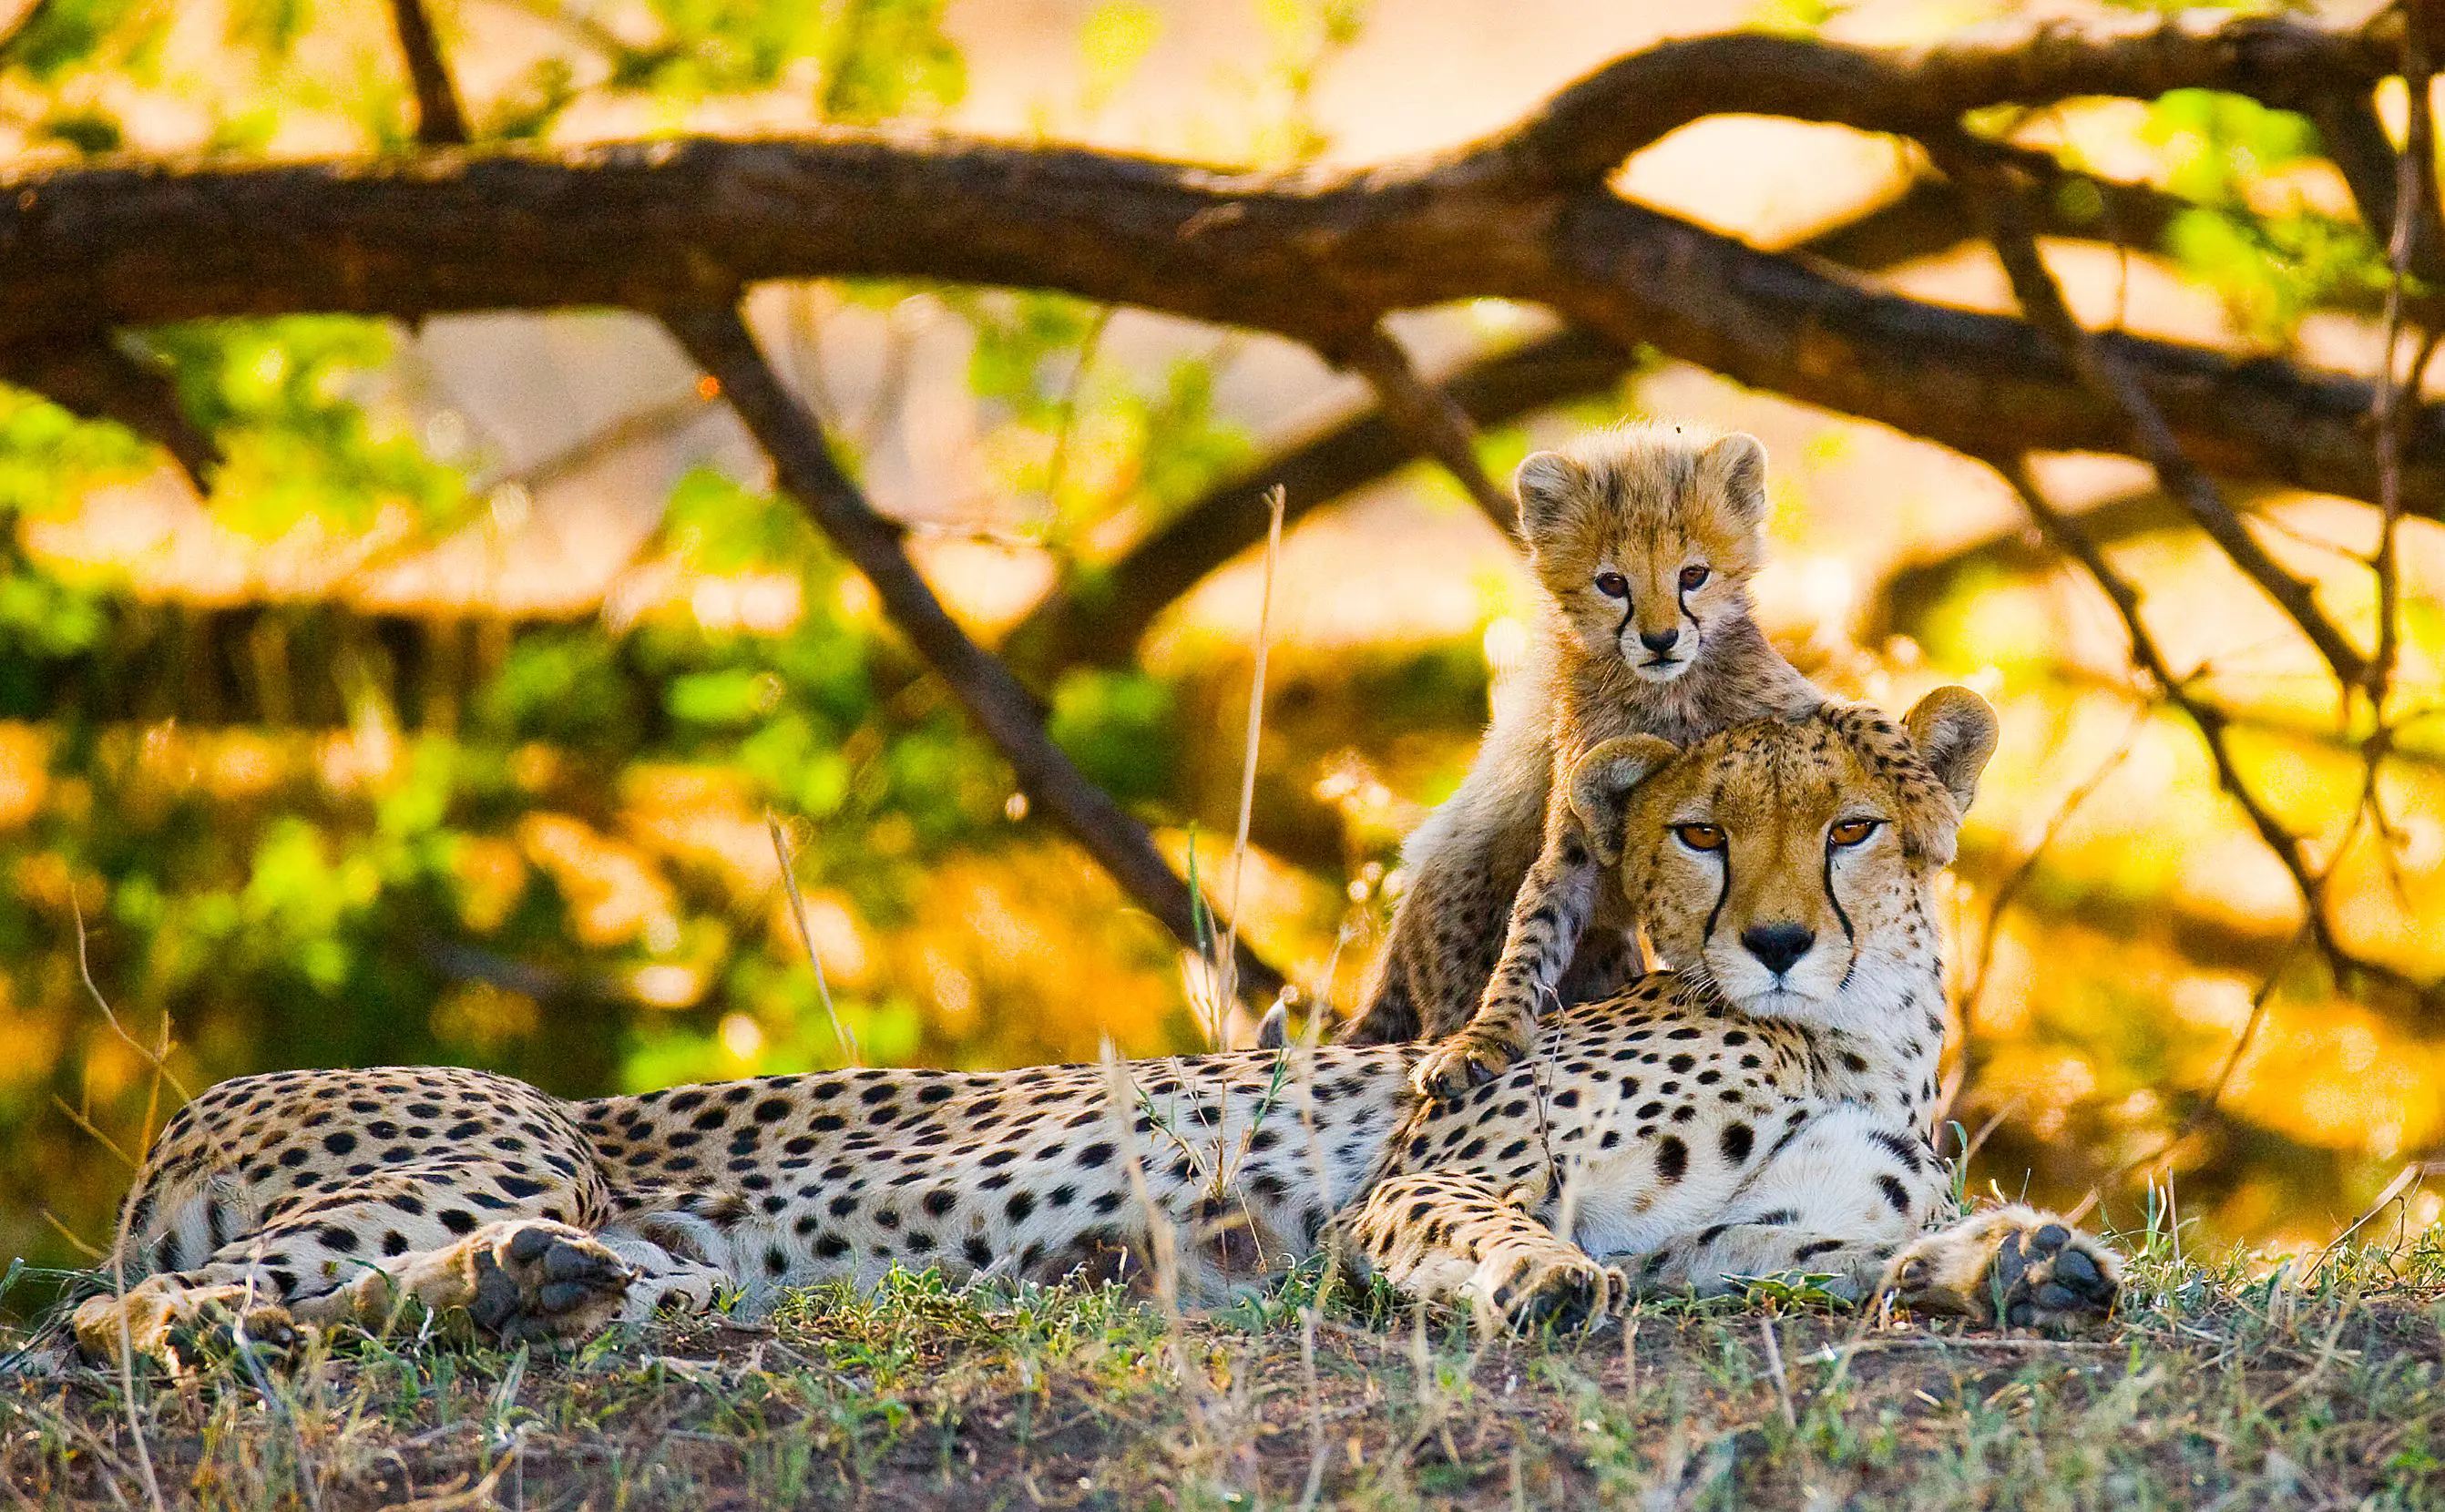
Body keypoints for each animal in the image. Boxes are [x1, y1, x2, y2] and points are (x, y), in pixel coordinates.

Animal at [63, 689, 2116, 1371]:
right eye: (1699, 833)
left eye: (1846, 828)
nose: (1770, 942)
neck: (1850, 1039)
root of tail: (200, 1099)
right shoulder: (1443, 1165)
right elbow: (1483, 1226)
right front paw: (1532, 1284)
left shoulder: (1745, 1242)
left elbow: (1870, 1257)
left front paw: (2019, 1261)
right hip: (500, 1138)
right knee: (128, 1313)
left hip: (605, 1227)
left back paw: (537, 1293)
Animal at [1326, 421, 1823, 1104]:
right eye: (1612, 583)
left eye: (1693, 574)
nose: (1661, 640)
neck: (1669, 698)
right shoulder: (1575, 842)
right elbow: (1532, 937)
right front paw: (1485, 1040)